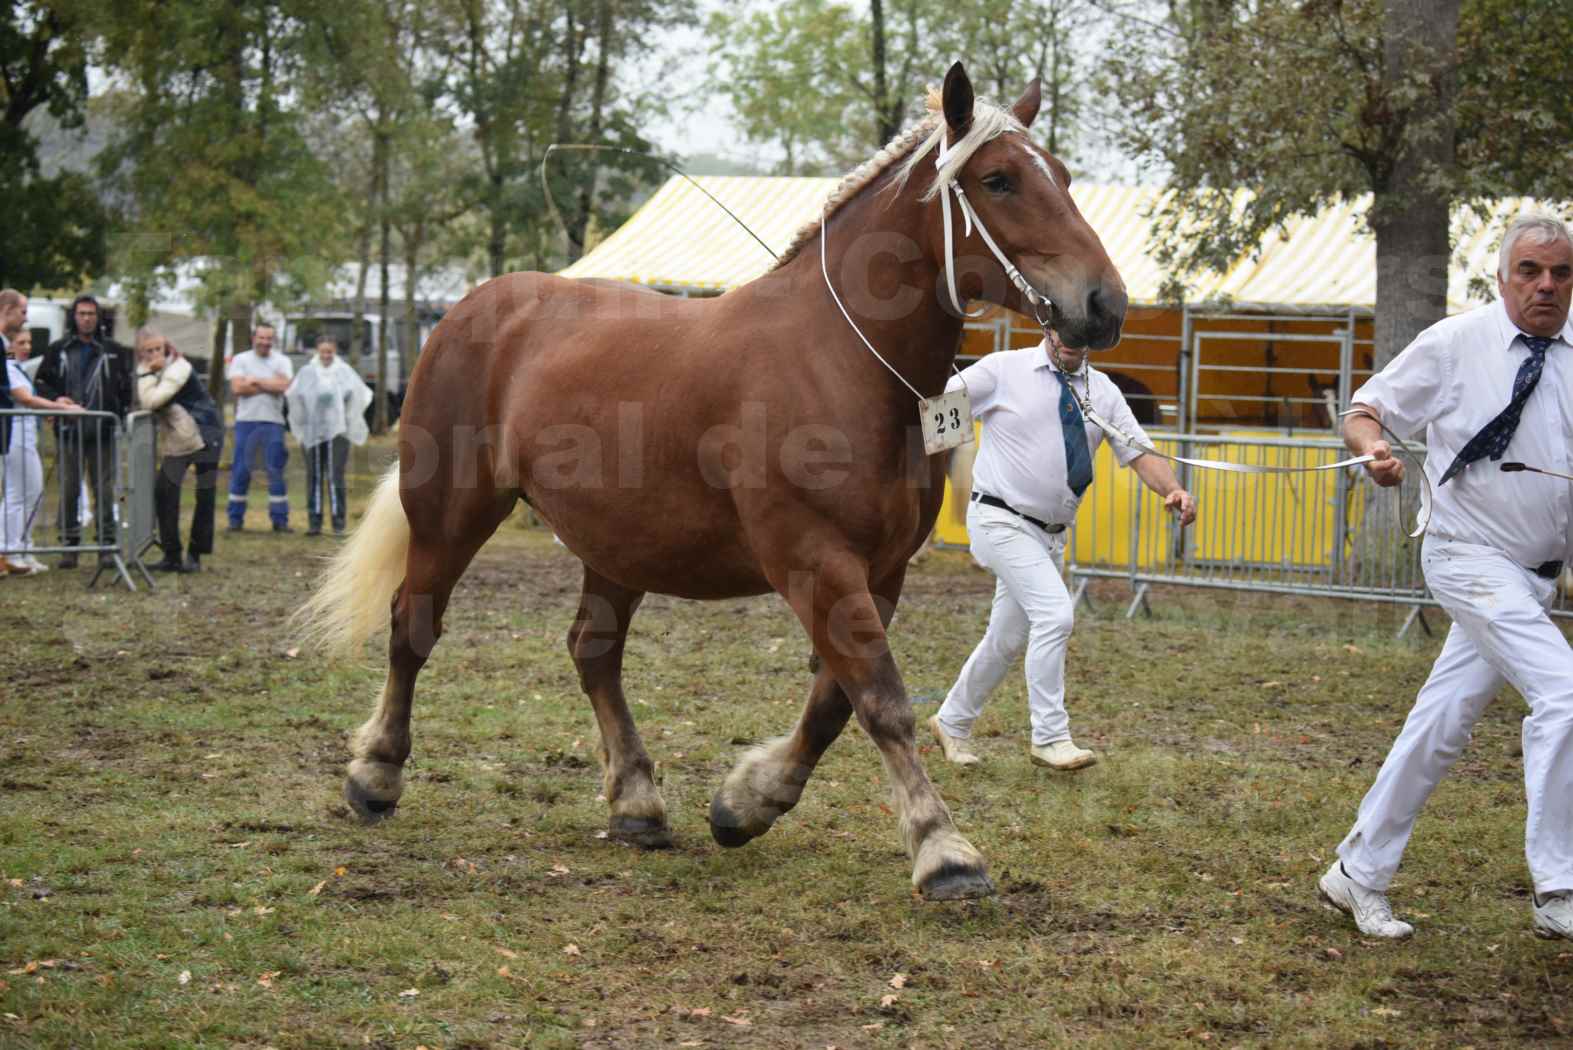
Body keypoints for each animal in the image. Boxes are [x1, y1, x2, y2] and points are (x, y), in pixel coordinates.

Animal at [295, 63, 1126, 905]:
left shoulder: (880, 572)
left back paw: (635, 803)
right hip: (452, 511)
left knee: (592, 651)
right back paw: (375, 775)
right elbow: (881, 701)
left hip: (617, 543)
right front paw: (941, 847)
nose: (1103, 304)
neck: (842, 361)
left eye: (1061, 175)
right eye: (998, 180)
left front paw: (746, 802)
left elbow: (832, 704)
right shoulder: (815, 562)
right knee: (413, 625)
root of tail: (470, 308)